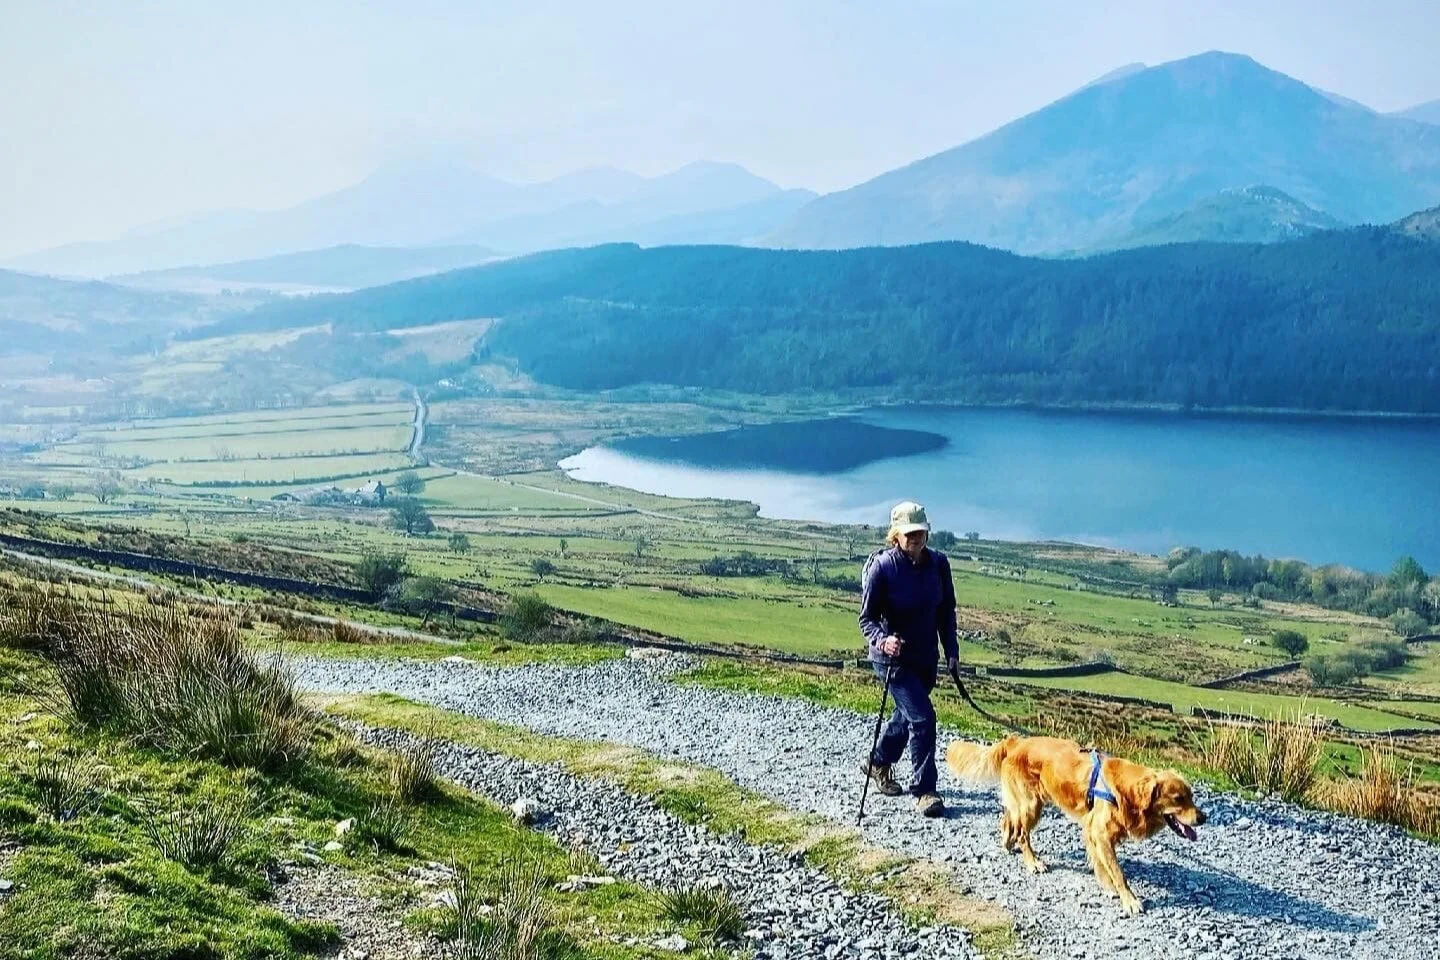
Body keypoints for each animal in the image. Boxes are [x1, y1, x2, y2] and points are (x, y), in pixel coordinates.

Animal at [946, 736, 1205, 915]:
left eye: (1191, 796)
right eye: (1178, 799)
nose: (1203, 818)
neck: (1124, 791)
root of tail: (1016, 741)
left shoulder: (1094, 833)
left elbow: (1102, 864)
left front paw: (1107, 886)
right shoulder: (1100, 832)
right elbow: (1118, 872)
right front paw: (1129, 900)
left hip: (1030, 804)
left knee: (1009, 820)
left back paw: (1007, 841)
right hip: (1031, 804)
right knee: (1022, 833)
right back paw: (1032, 862)